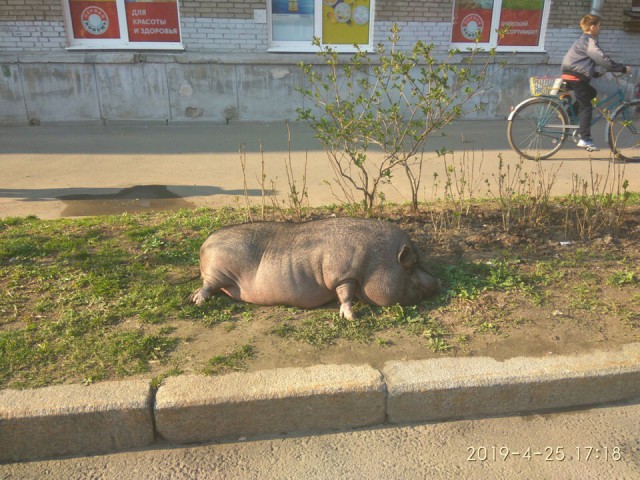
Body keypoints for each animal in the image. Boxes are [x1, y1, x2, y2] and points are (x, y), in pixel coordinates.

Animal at [190, 218, 440, 318]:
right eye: (412, 263)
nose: (439, 281)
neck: (376, 261)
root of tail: (205, 243)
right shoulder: (342, 274)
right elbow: (346, 293)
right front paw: (351, 316)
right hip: (218, 272)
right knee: (207, 286)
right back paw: (197, 301)